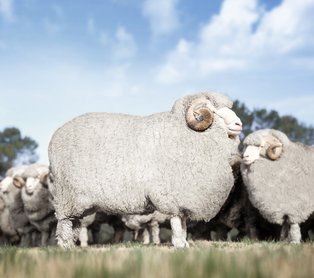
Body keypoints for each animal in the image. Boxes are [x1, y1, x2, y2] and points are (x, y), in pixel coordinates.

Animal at [48, 91, 243, 248]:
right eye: (214, 112)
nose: (239, 124)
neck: (187, 133)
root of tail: (55, 136)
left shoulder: (184, 197)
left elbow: (183, 222)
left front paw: (185, 243)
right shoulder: (171, 195)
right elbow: (176, 222)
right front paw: (179, 244)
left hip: (79, 202)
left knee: (75, 223)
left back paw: (71, 246)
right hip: (66, 195)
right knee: (64, 222)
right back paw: (64, 247)